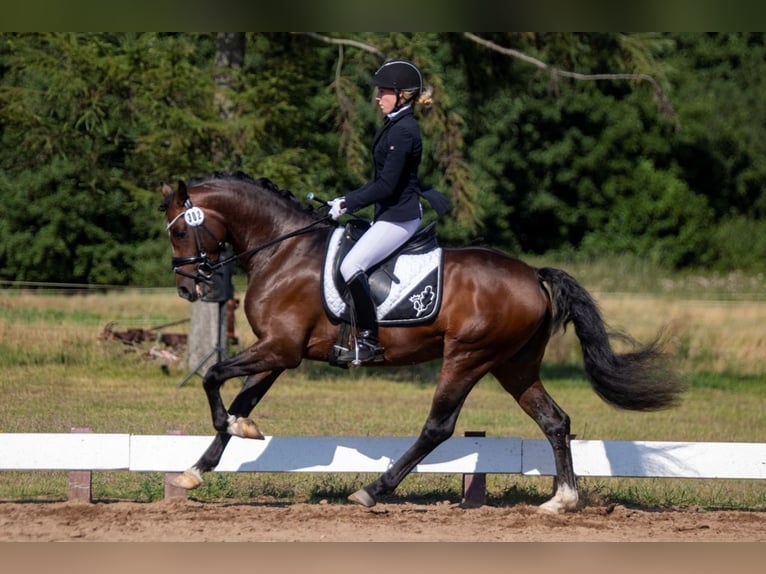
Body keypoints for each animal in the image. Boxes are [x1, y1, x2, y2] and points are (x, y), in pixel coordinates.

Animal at [159, 173, 688, 516]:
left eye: (182, 229)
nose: (187, 288)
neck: (283, 249)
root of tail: (532, 276)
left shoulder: (281, 348)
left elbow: (212, 377)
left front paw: (228, 432)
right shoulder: (278, 351)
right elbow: (240, 397)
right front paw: (197, 468)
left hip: (468, 356)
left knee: (438, 426)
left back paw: (373, 491)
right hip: (514, 365)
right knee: (555, 421)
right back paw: (561, 500)